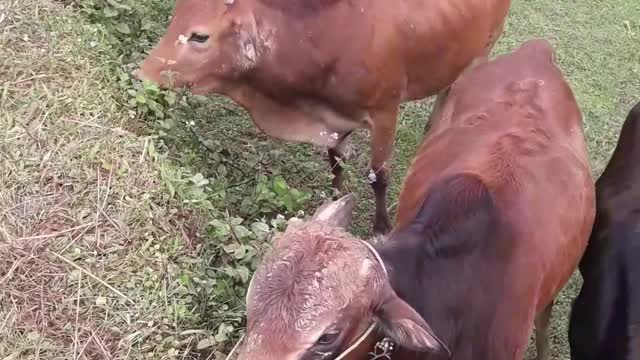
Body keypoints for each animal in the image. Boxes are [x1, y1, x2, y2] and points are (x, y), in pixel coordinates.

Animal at [134, 0, 510, 233]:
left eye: (199, 35)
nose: (142, 75)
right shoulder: (334, 119)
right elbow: (334, 164)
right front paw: (334, 202)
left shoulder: (385, 111)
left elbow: (379, 177)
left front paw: (381, 227)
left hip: (479, 55)